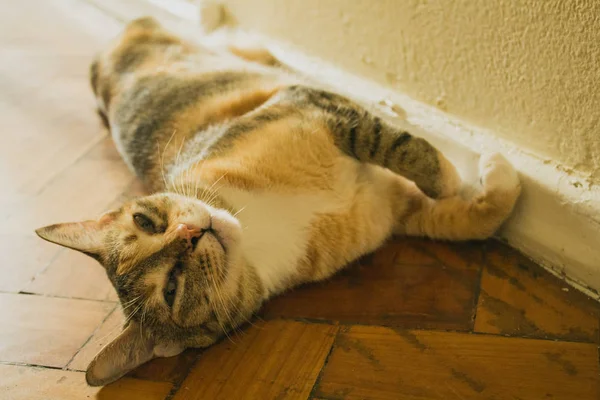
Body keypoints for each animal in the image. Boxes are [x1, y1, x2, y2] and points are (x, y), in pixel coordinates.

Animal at [35, 17, 520, 386]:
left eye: (146, 221)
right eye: (171, 289)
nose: (191, 234)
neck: (259, 224)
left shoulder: (310, 107)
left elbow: (397, 145)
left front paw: (467, 165)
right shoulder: (391, 208)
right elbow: (469, 218)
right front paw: (486, 171)